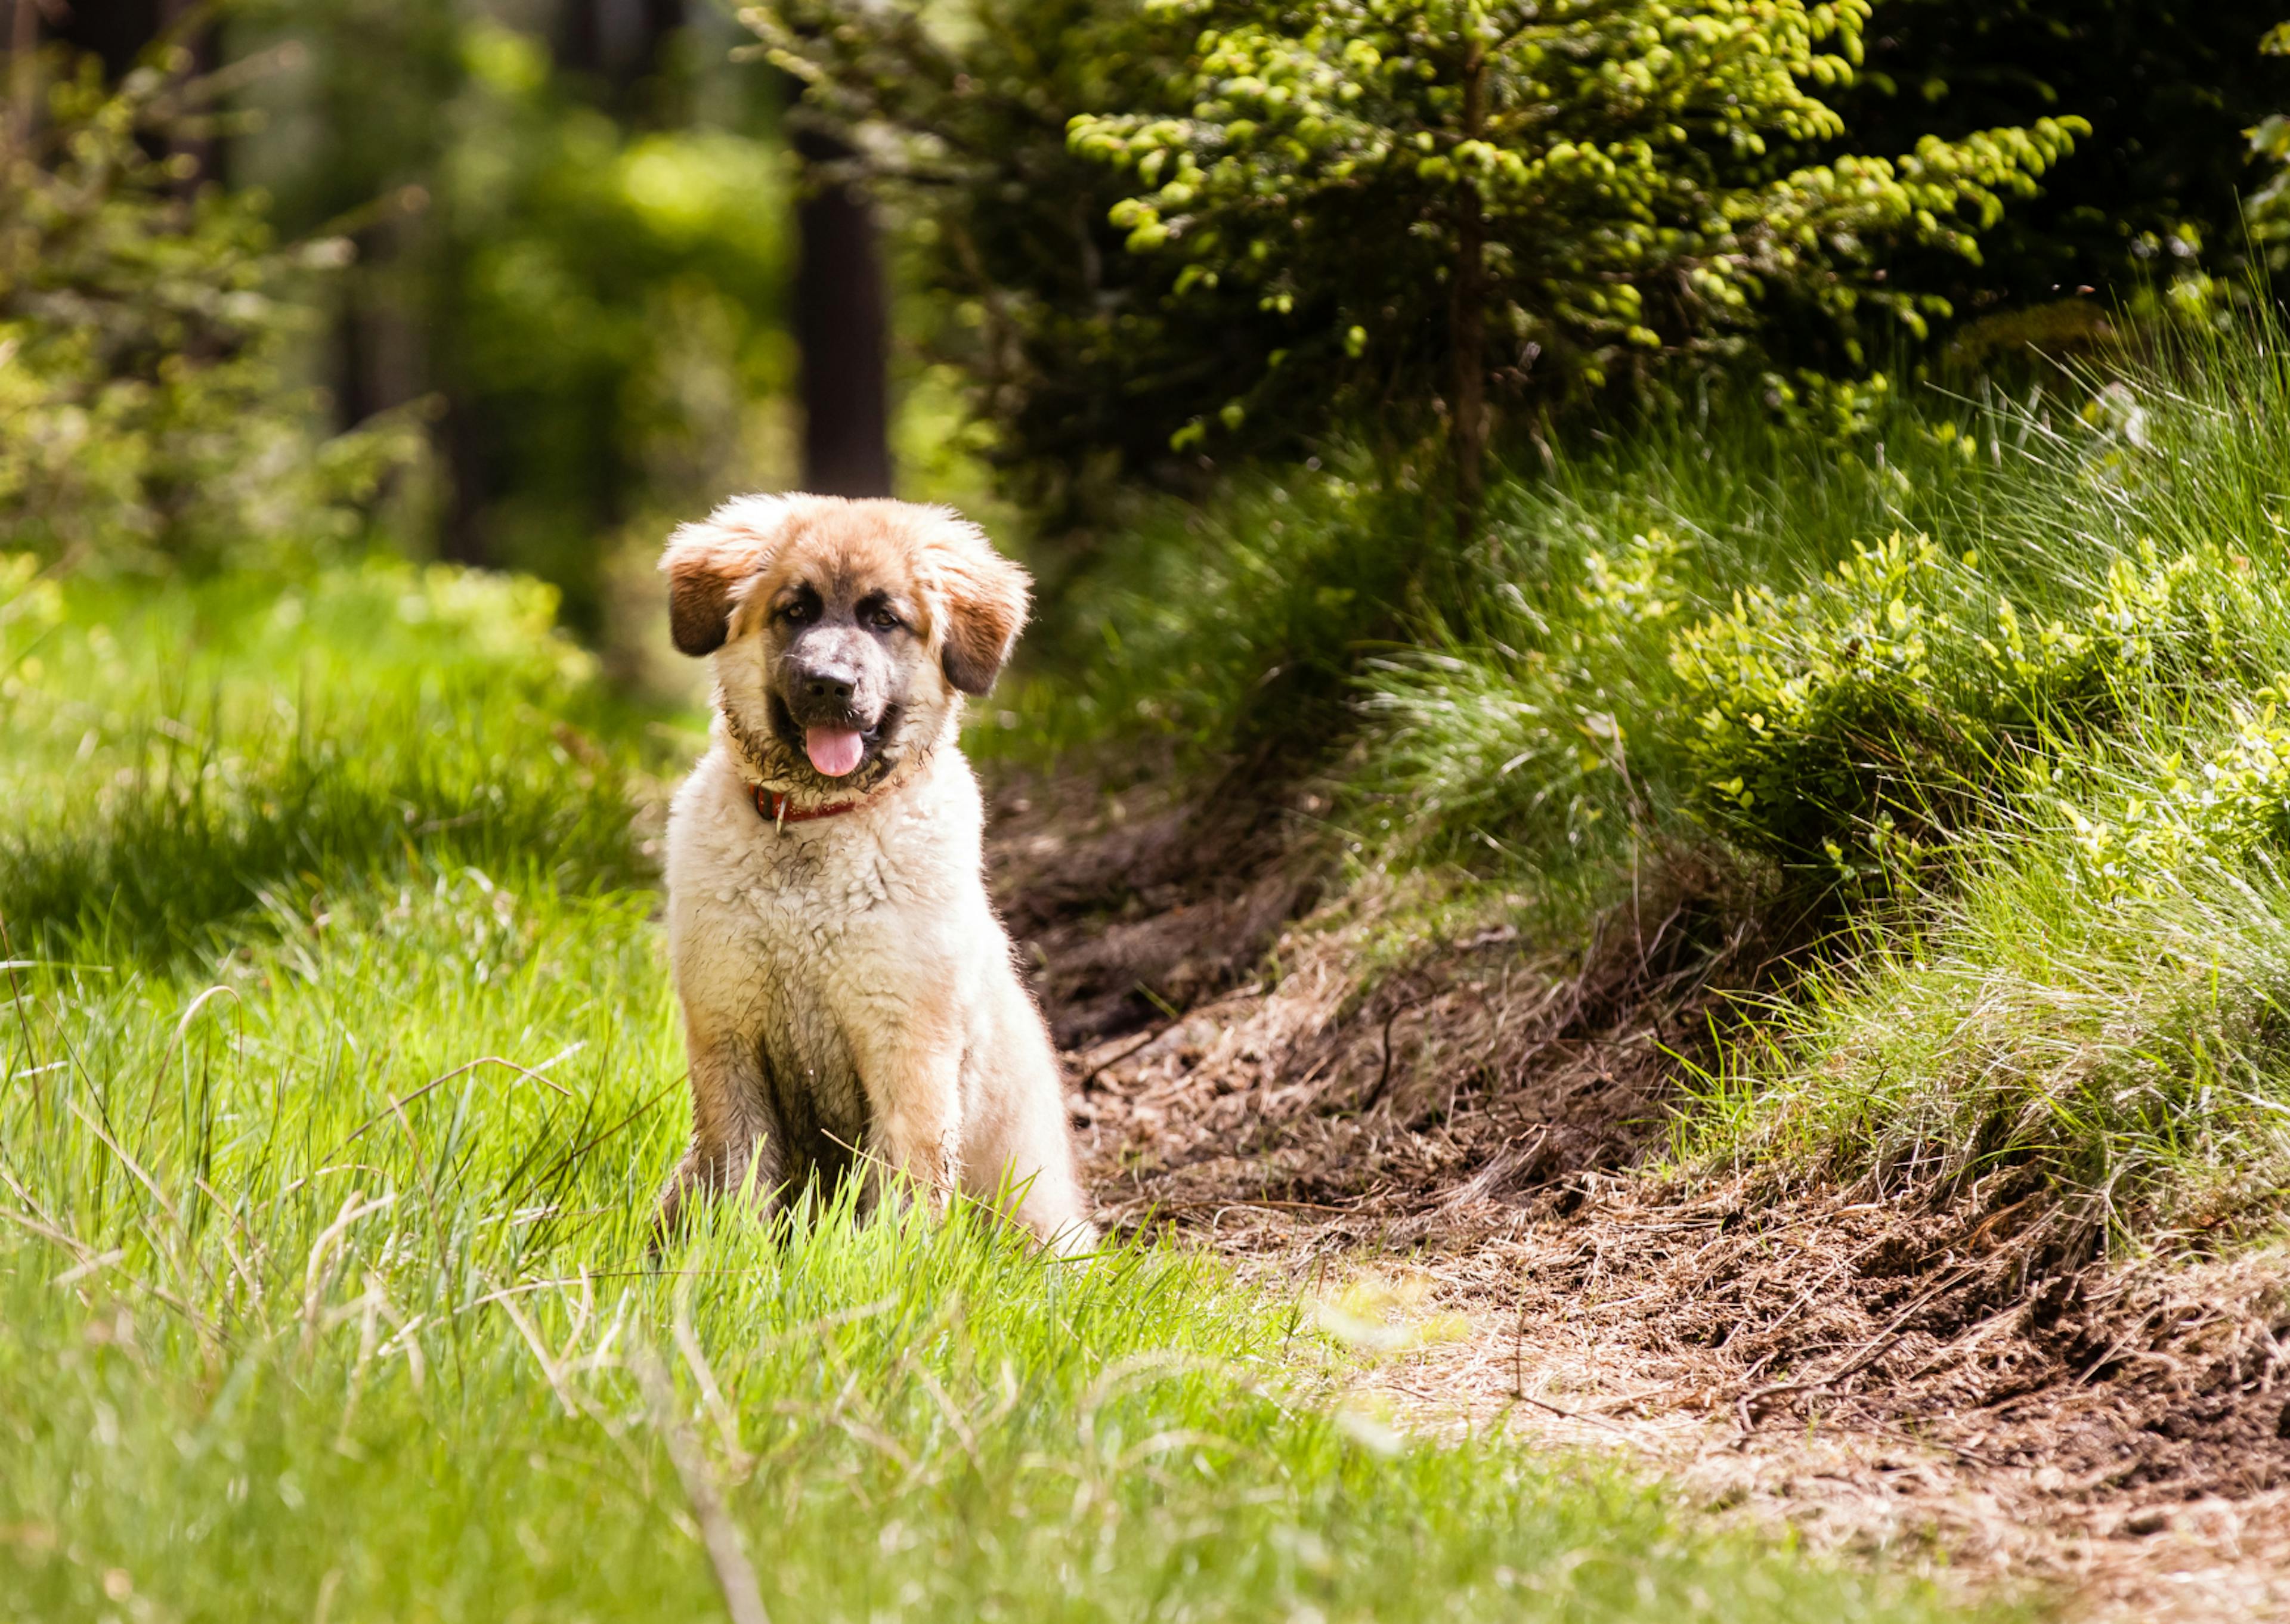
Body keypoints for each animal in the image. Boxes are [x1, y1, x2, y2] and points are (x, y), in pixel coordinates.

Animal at [655, 494, 1099, 1255]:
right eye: (795, 611)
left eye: (883, 619)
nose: (831, 685)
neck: (816, 825)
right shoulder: (726, 1033)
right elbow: (742, 1173)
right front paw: (733, 1259)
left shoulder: (907, 1041)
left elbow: (903, 1183)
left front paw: (881, 1263)